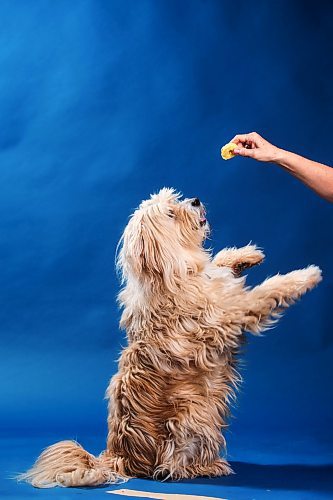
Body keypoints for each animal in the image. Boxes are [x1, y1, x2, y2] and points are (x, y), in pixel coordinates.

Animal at [18, 188, 322, 488]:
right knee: (170, 466)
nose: (196, 200)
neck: (173, 273)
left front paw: (247, 255)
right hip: (193, 415)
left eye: (175, 200)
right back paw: (206, 467)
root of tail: (120, 458)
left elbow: (219, 263)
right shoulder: (226, 315)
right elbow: (263, 292)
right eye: (171, 214)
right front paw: (305, 275)